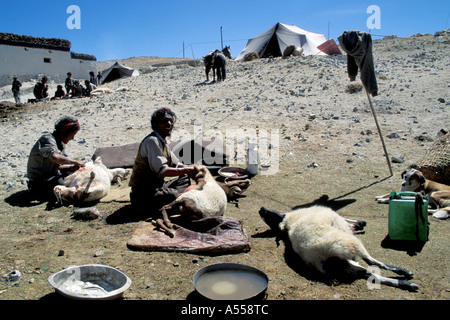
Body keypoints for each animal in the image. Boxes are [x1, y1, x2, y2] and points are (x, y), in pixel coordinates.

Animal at [258, 206, 420, 292]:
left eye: (269, 215)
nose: (261, 209)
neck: (288, 223)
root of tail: (319, 257)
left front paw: (359, 224)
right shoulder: (336, 218)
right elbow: (345, 219)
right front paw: (360, 223)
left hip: (344, 265)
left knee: (369, 274)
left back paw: (406, 283)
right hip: (350, 245)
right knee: (372, 263)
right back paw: (406, 277)